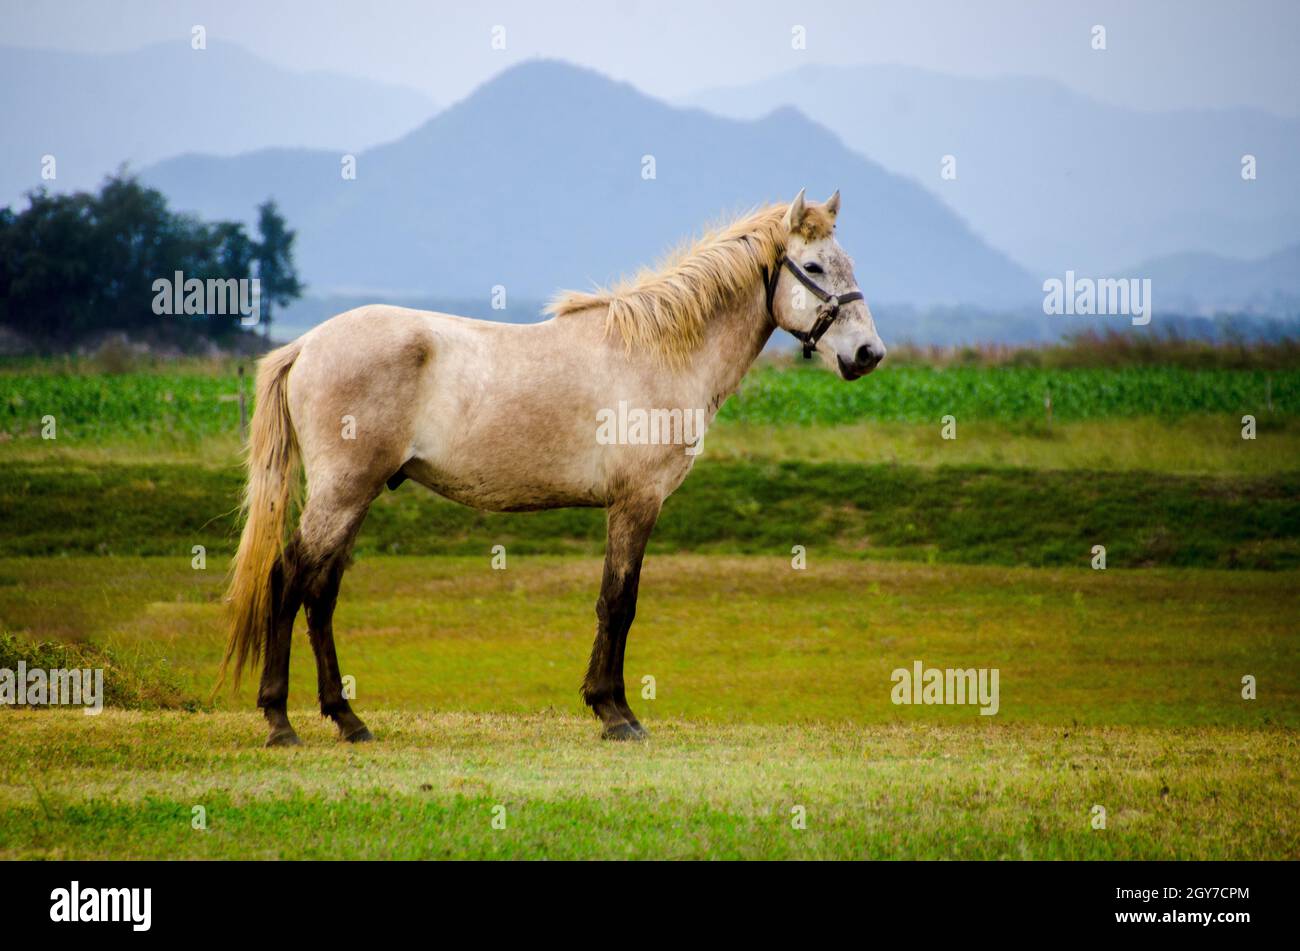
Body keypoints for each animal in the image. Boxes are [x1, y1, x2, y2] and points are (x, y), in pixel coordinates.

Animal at [220, 189, 883, 748]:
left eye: (848, 263)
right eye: (815, 268)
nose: (868, 354)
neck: (659, 351)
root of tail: (305, 345)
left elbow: (614, 601)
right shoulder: (637, 503)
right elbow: (619, 602)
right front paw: (615, 713)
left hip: (355, 496)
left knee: (320, 593)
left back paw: (347, 719)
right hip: (342, 492)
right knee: (288, 579)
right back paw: (280, 722)